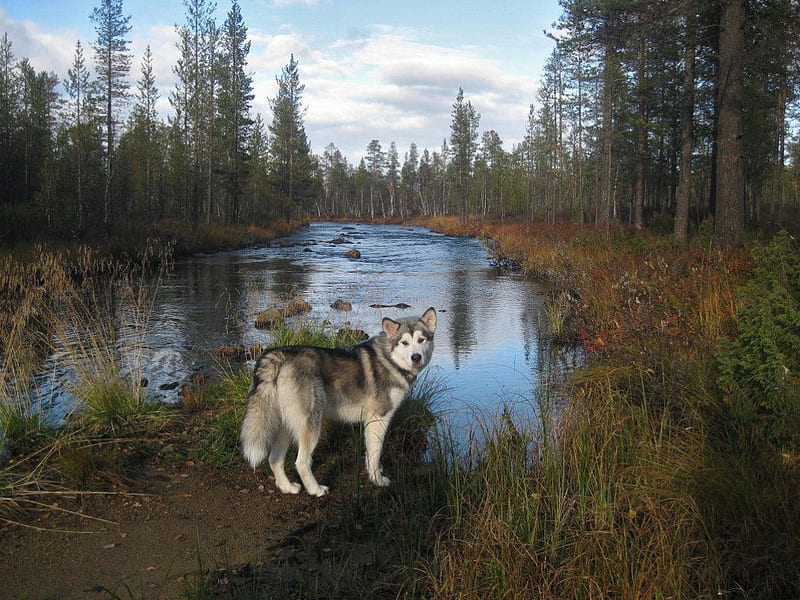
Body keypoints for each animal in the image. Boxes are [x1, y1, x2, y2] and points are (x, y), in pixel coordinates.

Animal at [241, 308, 438, 494]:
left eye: (421, 340)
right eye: (404, 343)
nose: (416, 357)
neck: (390, 360)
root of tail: (281, 353)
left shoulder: (370, 423)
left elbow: (370, 455)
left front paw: (373, 473)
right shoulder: (379, 419)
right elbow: (376, 454)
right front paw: (377, 480)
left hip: (287, 425)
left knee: (274, 459)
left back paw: (287, 487)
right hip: (310, 425)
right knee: (301, 462)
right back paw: (316, 490)